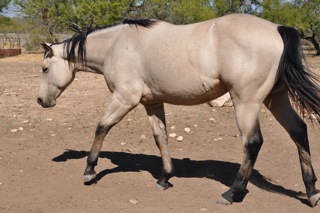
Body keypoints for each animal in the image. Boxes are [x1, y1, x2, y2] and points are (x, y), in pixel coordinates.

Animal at [37, 13, 320, 206]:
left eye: (44, 68)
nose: (41, 100)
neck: (117, 45)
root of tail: (277, 28)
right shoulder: (152, 103)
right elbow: (160, 137)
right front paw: (165, 178)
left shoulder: (124, 99)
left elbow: (101, 128)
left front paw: (89, 171)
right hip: (276, 98)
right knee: (298, 131)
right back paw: (312, 192)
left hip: (246, 102)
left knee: (253, 143)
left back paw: (232, 192)